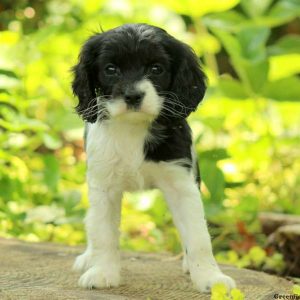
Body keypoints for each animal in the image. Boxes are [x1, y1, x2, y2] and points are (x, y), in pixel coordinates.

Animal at [71, 23, 236, 292]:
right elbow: (104, 233)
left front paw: (210, 277)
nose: (132, 96)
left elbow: (198, 237)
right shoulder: (104, 186)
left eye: (156, 69)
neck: (134, 128)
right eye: (111, 69)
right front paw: (102, 272)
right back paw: (88, 257)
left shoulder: (182, 184)